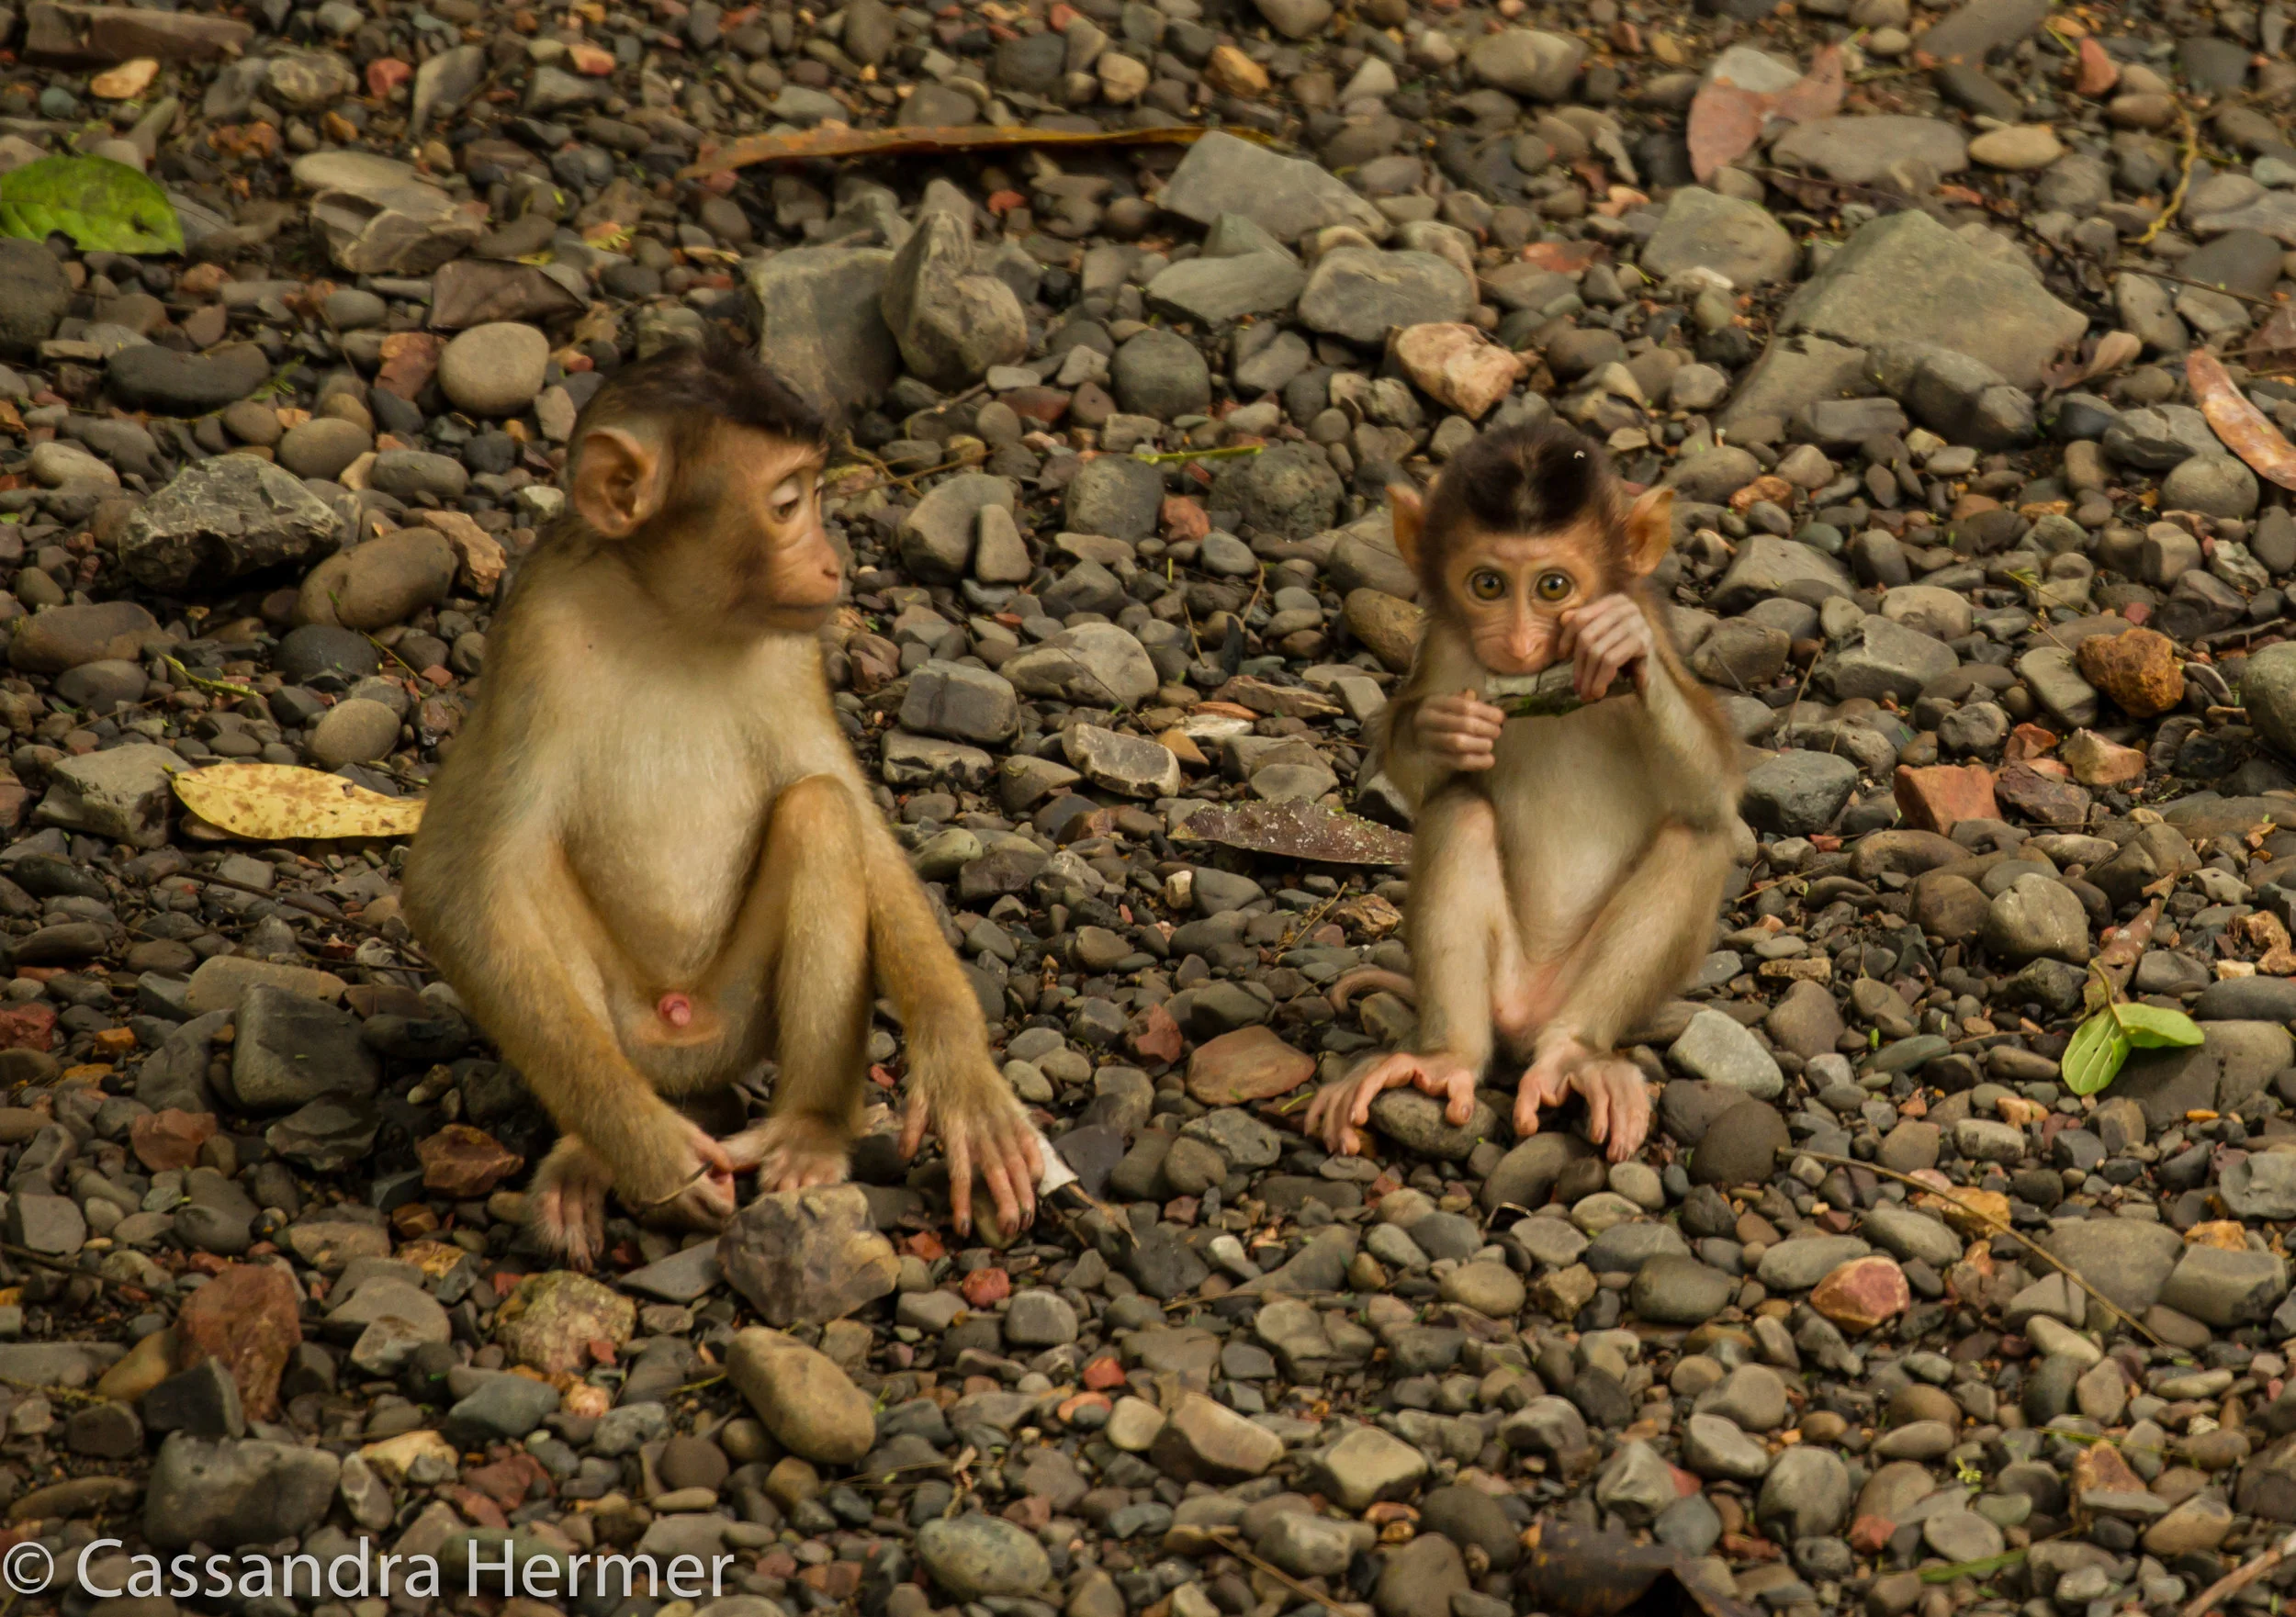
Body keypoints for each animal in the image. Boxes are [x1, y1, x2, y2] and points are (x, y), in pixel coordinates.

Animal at [402, 334, 1042, 1266]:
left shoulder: (796, 650)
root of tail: (684, 1039)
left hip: (737, 1019)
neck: (670, 614)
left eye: (813, 494)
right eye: (786, 504)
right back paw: (589, 1152)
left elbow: (858, 819)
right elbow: (451, 881)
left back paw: (809, 1130)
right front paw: (649, 1152)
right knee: (521, 873)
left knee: (819, 811)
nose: (831, 561)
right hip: (633, 1035)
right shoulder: (534, 637)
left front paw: (963, 1077)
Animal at [1306, 420, 1742, 1166]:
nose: (1516, 642)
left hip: (1576, 991)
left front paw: (1621, 649)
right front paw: (1442, 730)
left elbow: (1715, 795)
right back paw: (1445, 1058)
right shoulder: (1446, 649)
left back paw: (1575, 1054)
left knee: (1698, 837)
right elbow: (1413, 769)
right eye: (1487, 583)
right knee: (1459, 811)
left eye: (1553, 586)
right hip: (1498, 986)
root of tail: (1526, 1014)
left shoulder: (1649, 619)